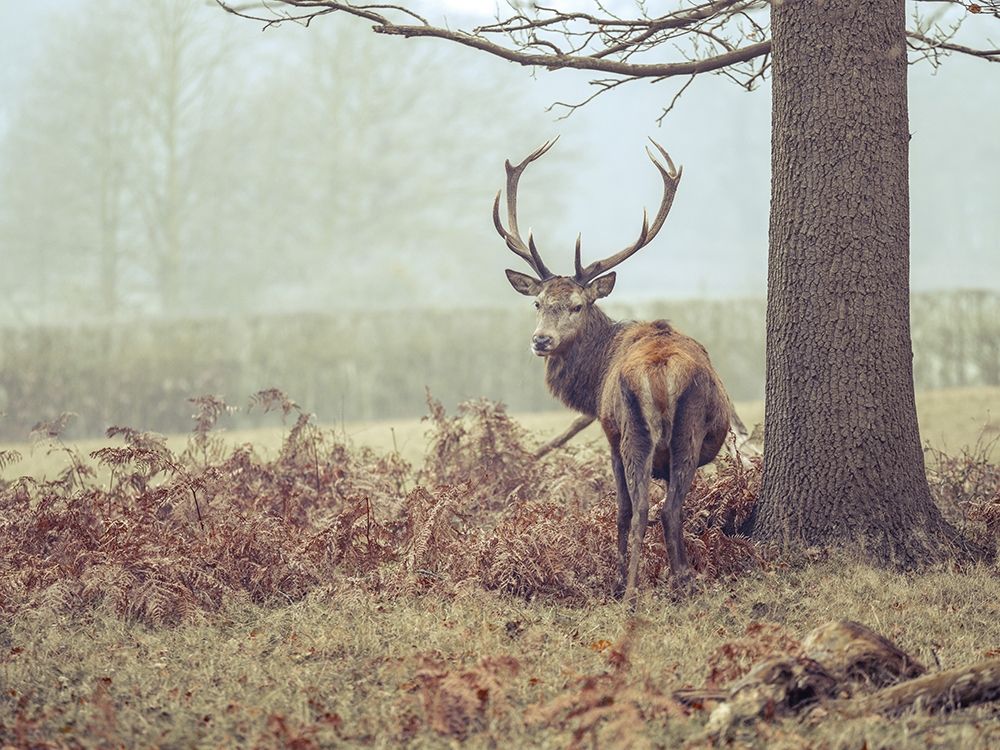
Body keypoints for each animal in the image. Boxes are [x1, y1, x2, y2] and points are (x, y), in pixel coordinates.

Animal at [494, 138, 737, 605]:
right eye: (537, 303)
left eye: (577, 305)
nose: (541, 341)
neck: (596, 376)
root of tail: (660, 374)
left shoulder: (608, 433)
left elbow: (622, 508)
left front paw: (620, 572)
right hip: (674, 432)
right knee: (666, 508)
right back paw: (672, 582)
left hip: (635, 431)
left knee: (646, 508)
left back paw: (633, 589)